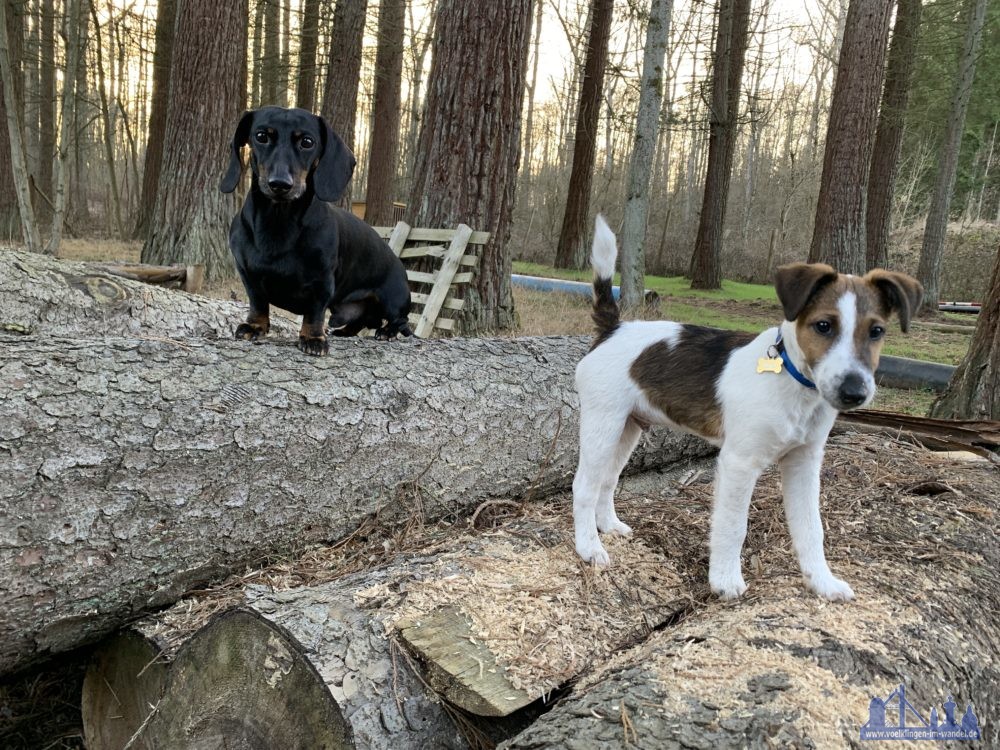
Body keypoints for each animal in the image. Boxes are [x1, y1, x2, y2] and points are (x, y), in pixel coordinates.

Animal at [572, 214, 920, 604]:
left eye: (876, 331)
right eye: (823, 325)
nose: (854, 392)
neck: (794, 382)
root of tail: (613, 328)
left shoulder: (804, 463)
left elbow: (811, 528)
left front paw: (822, 582)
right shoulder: (740, 463)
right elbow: (733, 526)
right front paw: (724, 580)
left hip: (628, 427)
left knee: (607, 480)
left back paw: (608, 526)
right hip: (603, 424)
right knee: (584, 485)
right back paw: (589, 547)